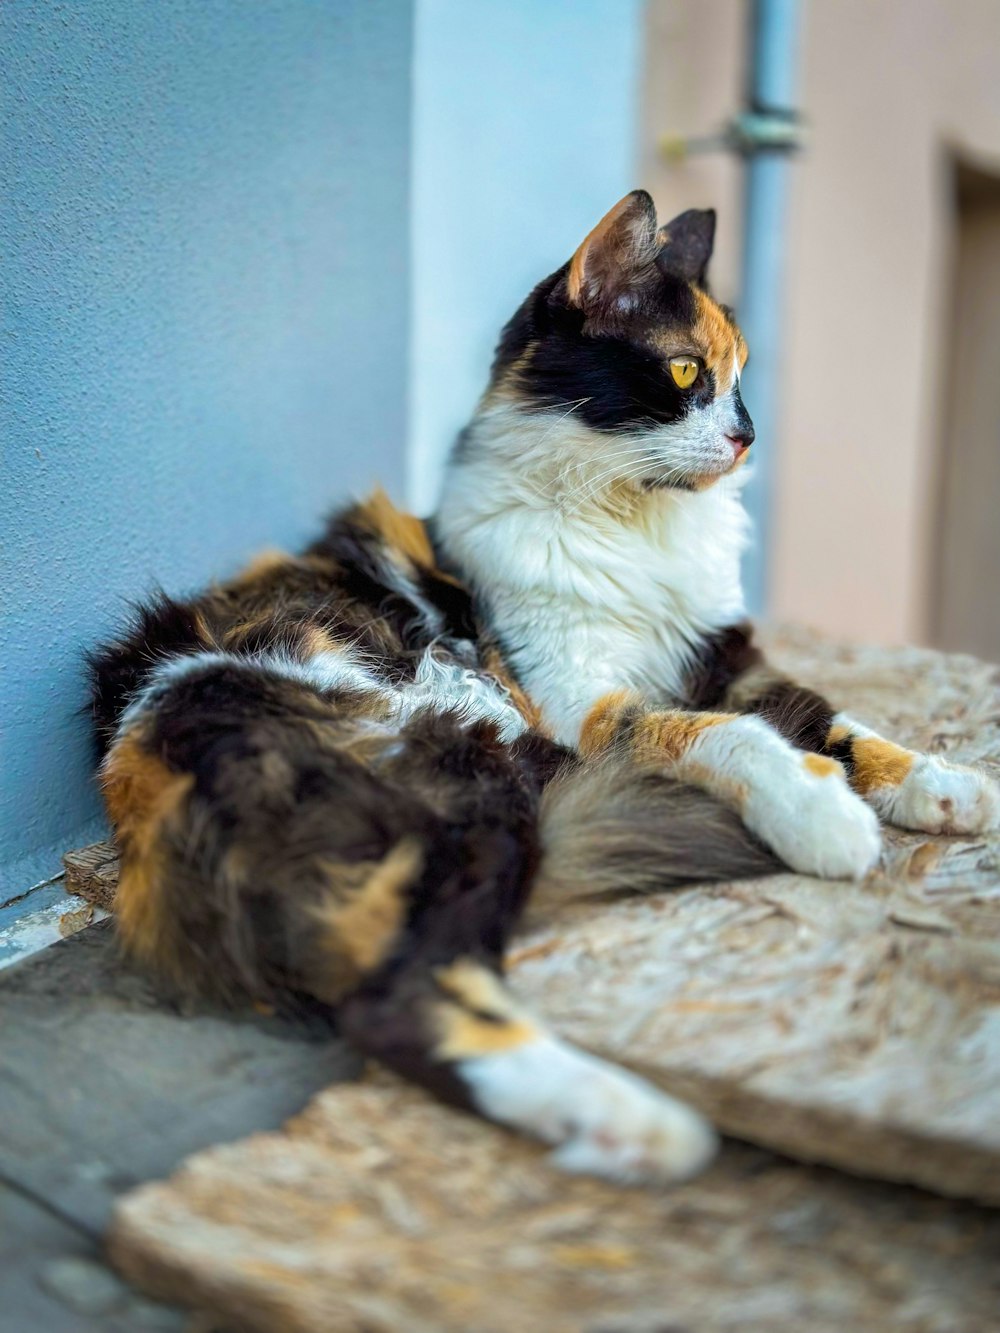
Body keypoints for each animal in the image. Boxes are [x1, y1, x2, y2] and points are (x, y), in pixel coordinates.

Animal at [92, 190, 1000, 1189]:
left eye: (740, 377)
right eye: (686, 370)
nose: (748, 435)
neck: (638, 520)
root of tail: (141, 759)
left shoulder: (730, 657)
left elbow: (839, 721)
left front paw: (941, 785)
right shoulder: (580, 703)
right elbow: (727, 733)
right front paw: (825, 817)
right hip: (476, 771)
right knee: (402, 1000)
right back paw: (638, 1125)